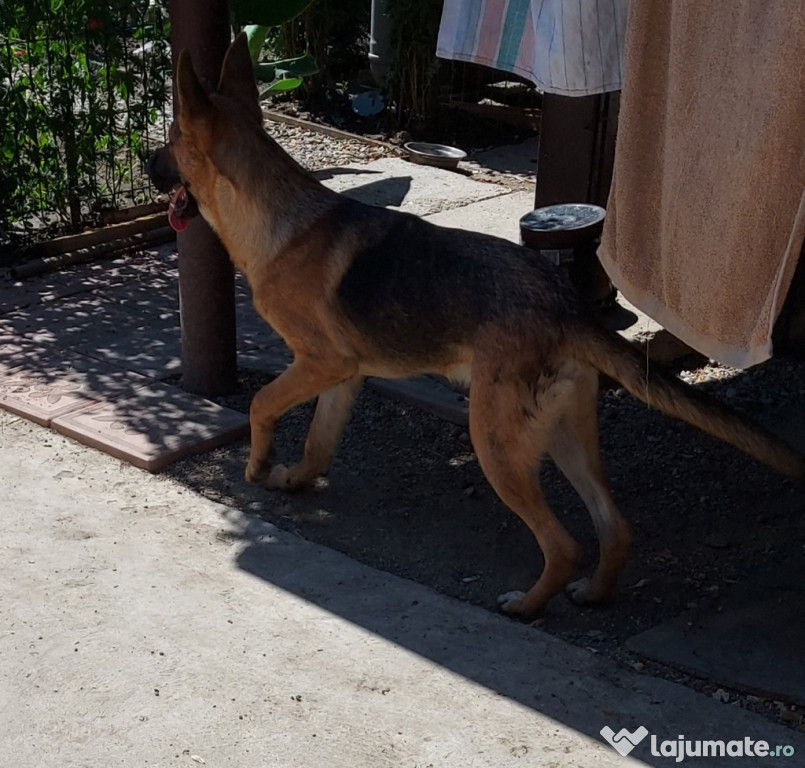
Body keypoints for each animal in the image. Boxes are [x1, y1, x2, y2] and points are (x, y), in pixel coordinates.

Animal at [151, 34, 804, 616]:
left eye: (171, 139)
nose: (146, 162)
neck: (275, 214)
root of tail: (562, 304)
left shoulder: (319, 362)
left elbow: (262, 402)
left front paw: (257, 466)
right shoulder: (343, 375)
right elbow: (318, 442)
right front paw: (294, 478)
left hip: (495, 441)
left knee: (564, 544)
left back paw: (527, 606)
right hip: (564, 433)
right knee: (615, 528)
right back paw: (593, 594)